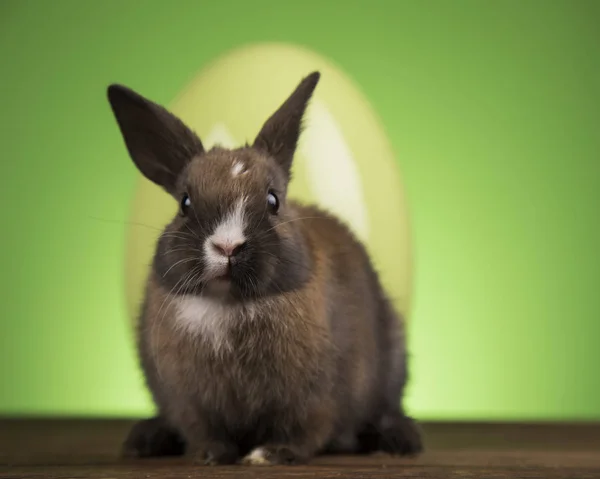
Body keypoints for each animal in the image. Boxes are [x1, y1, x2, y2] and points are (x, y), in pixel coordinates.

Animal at [105, 71, 422, 464]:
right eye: (184, 203)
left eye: (273, 200)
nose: (227, 245)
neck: (229, 304)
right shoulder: (186, 401)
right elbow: (201, 429)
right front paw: (209, 455)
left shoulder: (317, 396)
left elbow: (305, 430)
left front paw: (270, 454)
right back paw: (145, 439)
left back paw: (401, 440)